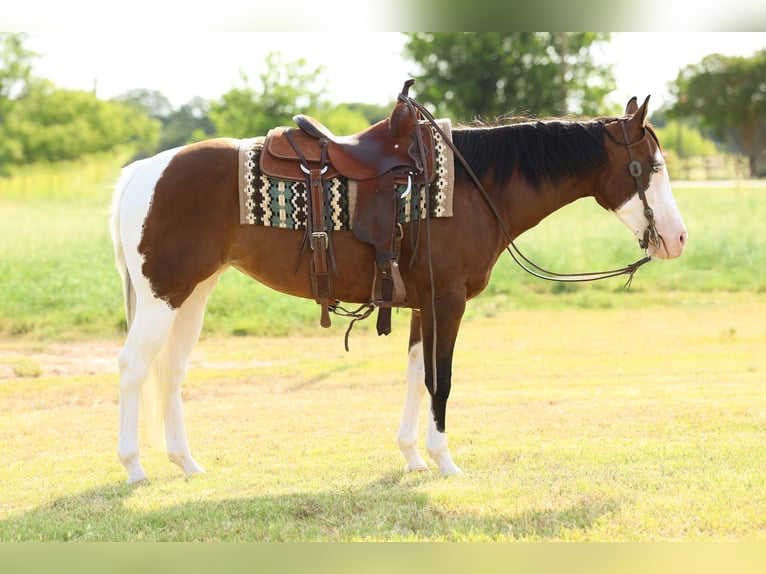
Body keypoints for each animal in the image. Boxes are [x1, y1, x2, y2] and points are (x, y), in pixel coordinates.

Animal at [110, 94, 687, 484]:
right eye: (652, 167)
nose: (679, 238)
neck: (474, 187)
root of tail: (142, 170)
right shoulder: (447, 303)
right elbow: (441, 381)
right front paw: (445, 460)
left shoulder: (421, 306)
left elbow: (416, 377)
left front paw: (411, 454)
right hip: (163, 295)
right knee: (135, 366)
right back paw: (134, 466)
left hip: (192, 294)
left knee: (171, 370)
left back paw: (186, 462)